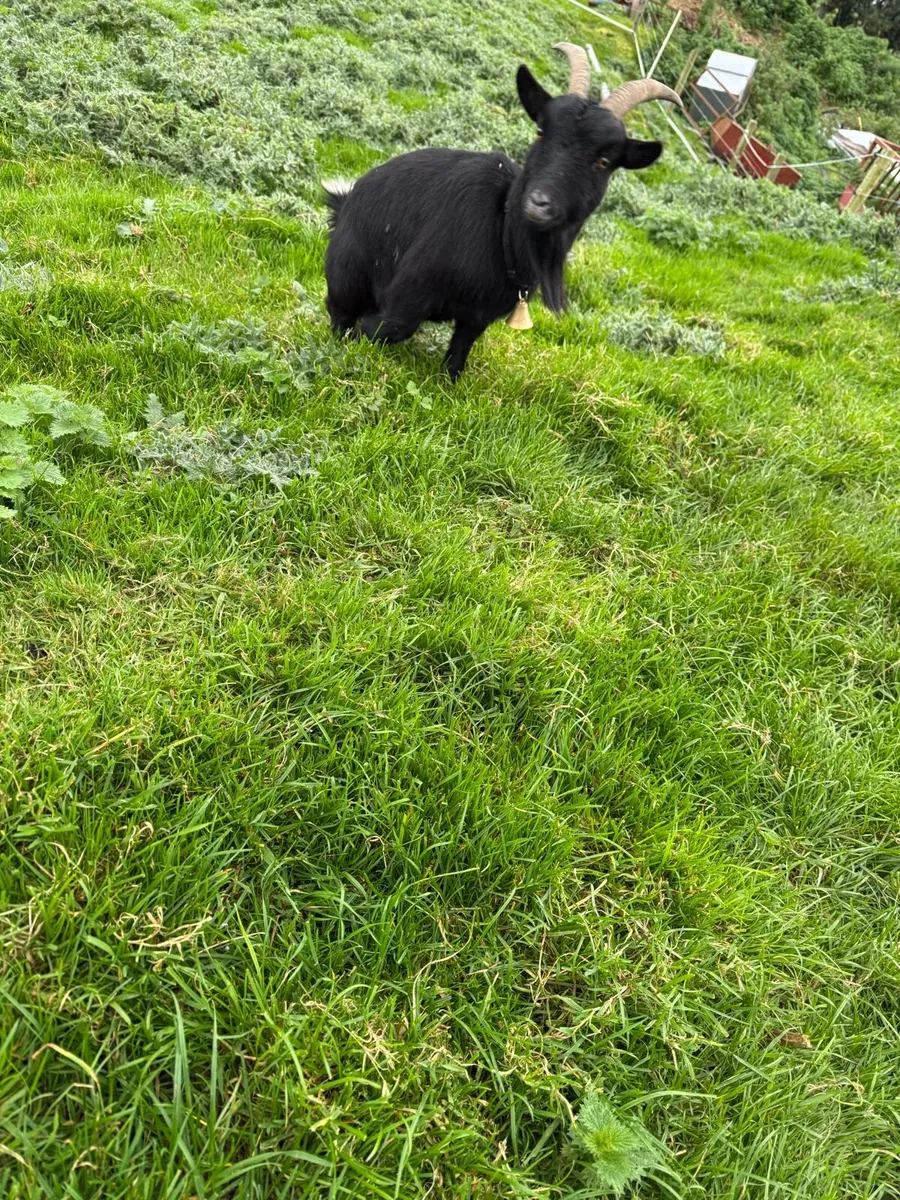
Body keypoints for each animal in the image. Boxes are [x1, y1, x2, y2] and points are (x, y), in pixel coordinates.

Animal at [323, 45, 680, 379]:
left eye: (604, 161)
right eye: (541, 132)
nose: (539, 202)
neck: (502, 228)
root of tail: (344, 205)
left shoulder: (478, 317)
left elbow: (458, 356)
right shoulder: (408, 293)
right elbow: (383, 328)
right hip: (348, 276)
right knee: (340, 312)